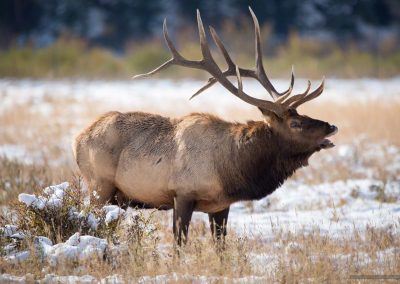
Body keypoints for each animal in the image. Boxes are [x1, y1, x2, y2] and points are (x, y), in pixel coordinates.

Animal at [72, 7, 338, 245]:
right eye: (295, 123)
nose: (332, 127)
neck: (231, 168)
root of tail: (77, 140)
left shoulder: (221, 206)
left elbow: (220, 245)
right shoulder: (182, 193)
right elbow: (180, 242)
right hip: (99, 185)